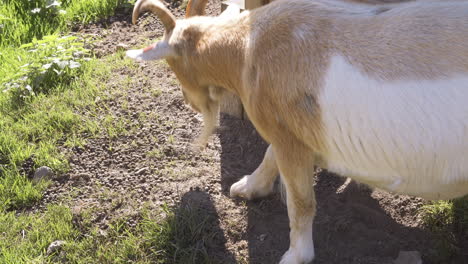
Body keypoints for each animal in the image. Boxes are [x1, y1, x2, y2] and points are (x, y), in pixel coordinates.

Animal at [126, 0, 468, 262]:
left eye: (172, 63)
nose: (188, 101)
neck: (247, 48)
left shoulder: (289, 139)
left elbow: (301, 203)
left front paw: (295, 255)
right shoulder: (288, 134)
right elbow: (269, 155)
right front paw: (248, 187)